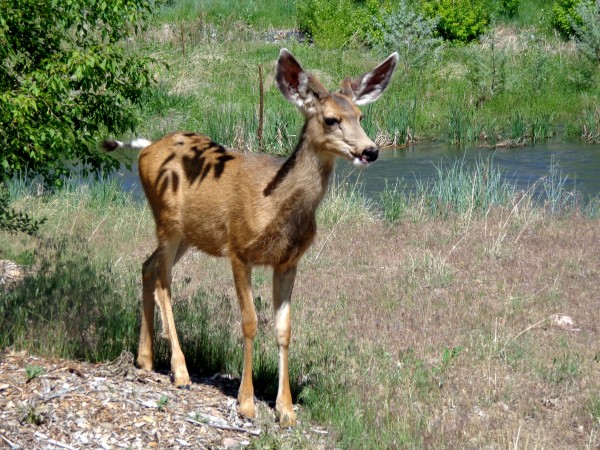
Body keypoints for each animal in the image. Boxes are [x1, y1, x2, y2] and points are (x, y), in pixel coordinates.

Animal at [103, 49, 398, 426]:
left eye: (360, 115)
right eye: (331, 119)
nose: (370, 150)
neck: (273, 204)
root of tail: (145, 148)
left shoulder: (288, 261)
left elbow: (284, 329)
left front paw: (286, 409)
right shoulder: (239, 249)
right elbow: (249, 322)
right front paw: (246, 402)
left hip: (188, 234)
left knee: (147, 265)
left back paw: (145, 358)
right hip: (166, 221)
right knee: (163, 281)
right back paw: (180, 371)